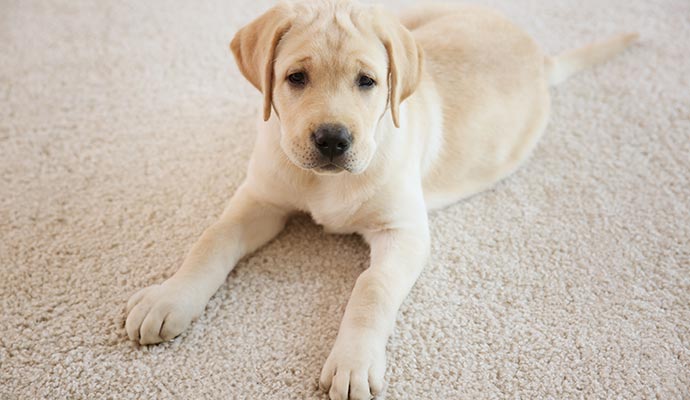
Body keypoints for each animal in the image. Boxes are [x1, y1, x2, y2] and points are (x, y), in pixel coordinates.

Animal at [125, 1, 636, 398]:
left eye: (367, 82)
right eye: (296, 77)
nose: (333, 139)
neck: (325, 183)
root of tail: (538, 53)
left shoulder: (403, 233)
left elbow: (372, 287)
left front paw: (353, 363)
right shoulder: (260, 199)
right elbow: (211, 239)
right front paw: (169, 298)